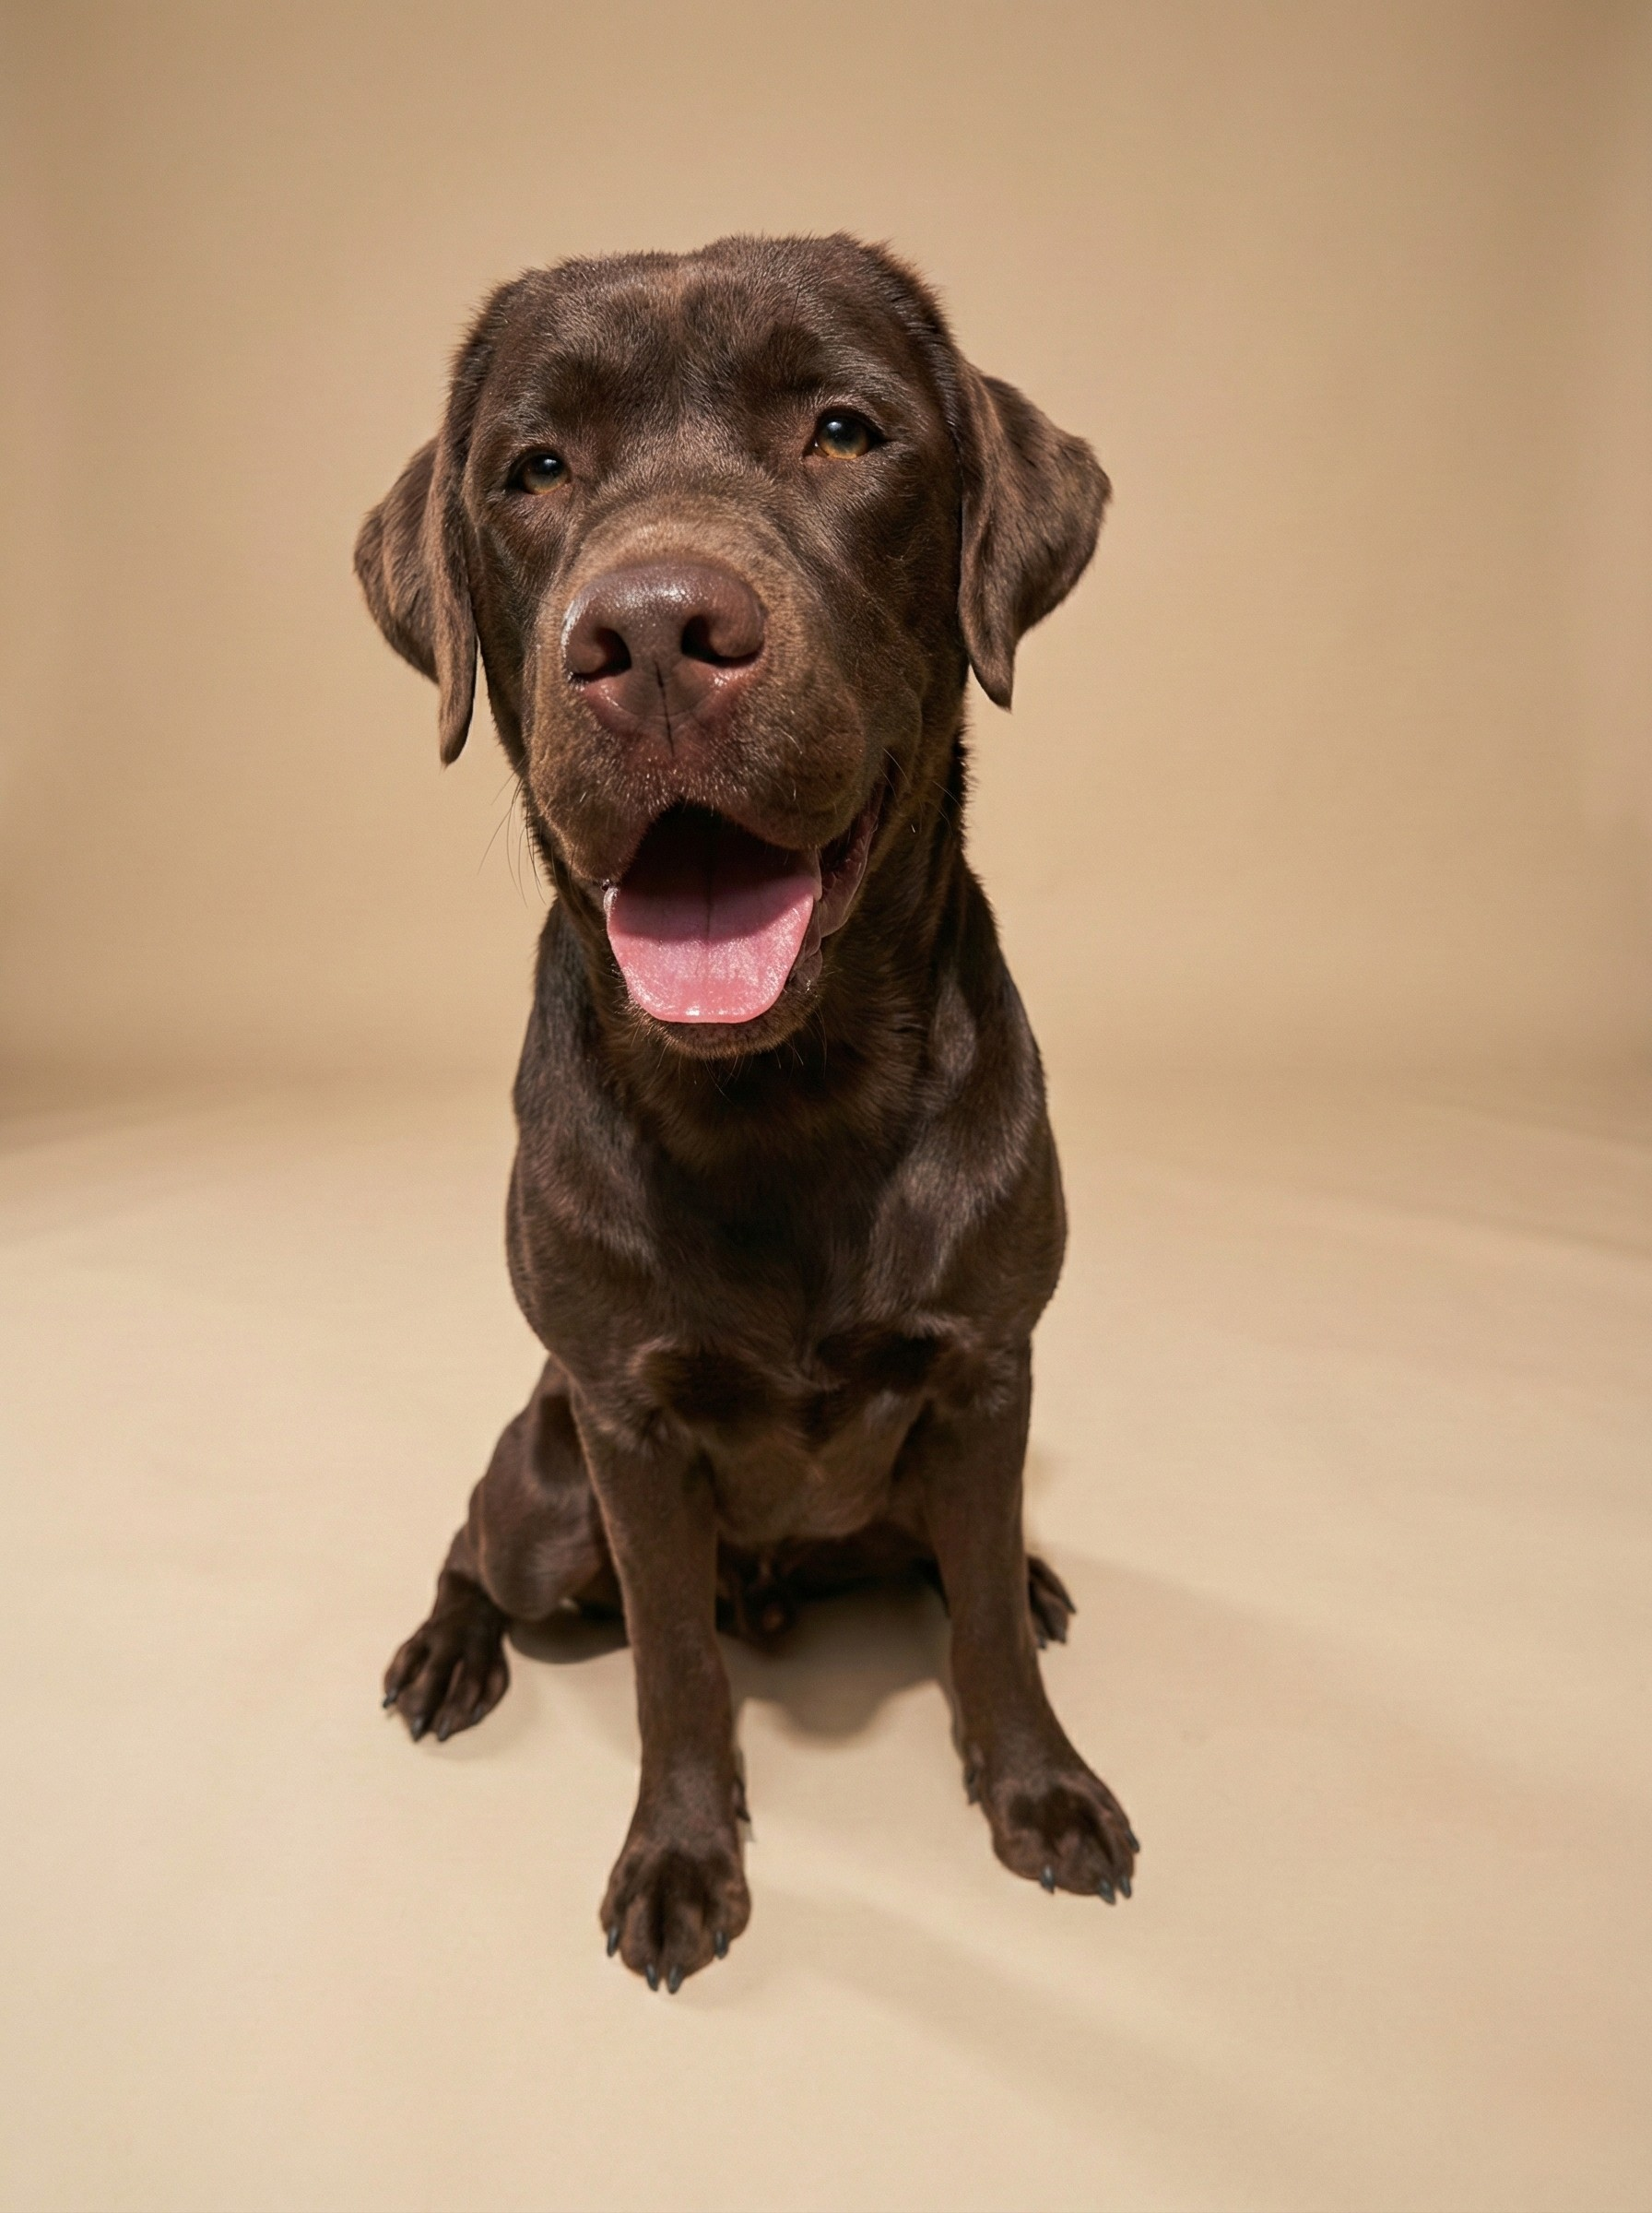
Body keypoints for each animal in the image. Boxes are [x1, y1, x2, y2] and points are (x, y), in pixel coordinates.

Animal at [357, 233, 1136, 1990]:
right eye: (534, 469)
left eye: (843, 431)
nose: (651, 635)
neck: (784, 1102)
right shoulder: (627, 1427)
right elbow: (672, 1670)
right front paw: (679, 1856)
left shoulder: (988, 1372)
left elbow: (988, 1630)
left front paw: (1039, 1789)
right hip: (548, 1491)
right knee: (479, 1542)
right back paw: (446, 1651)